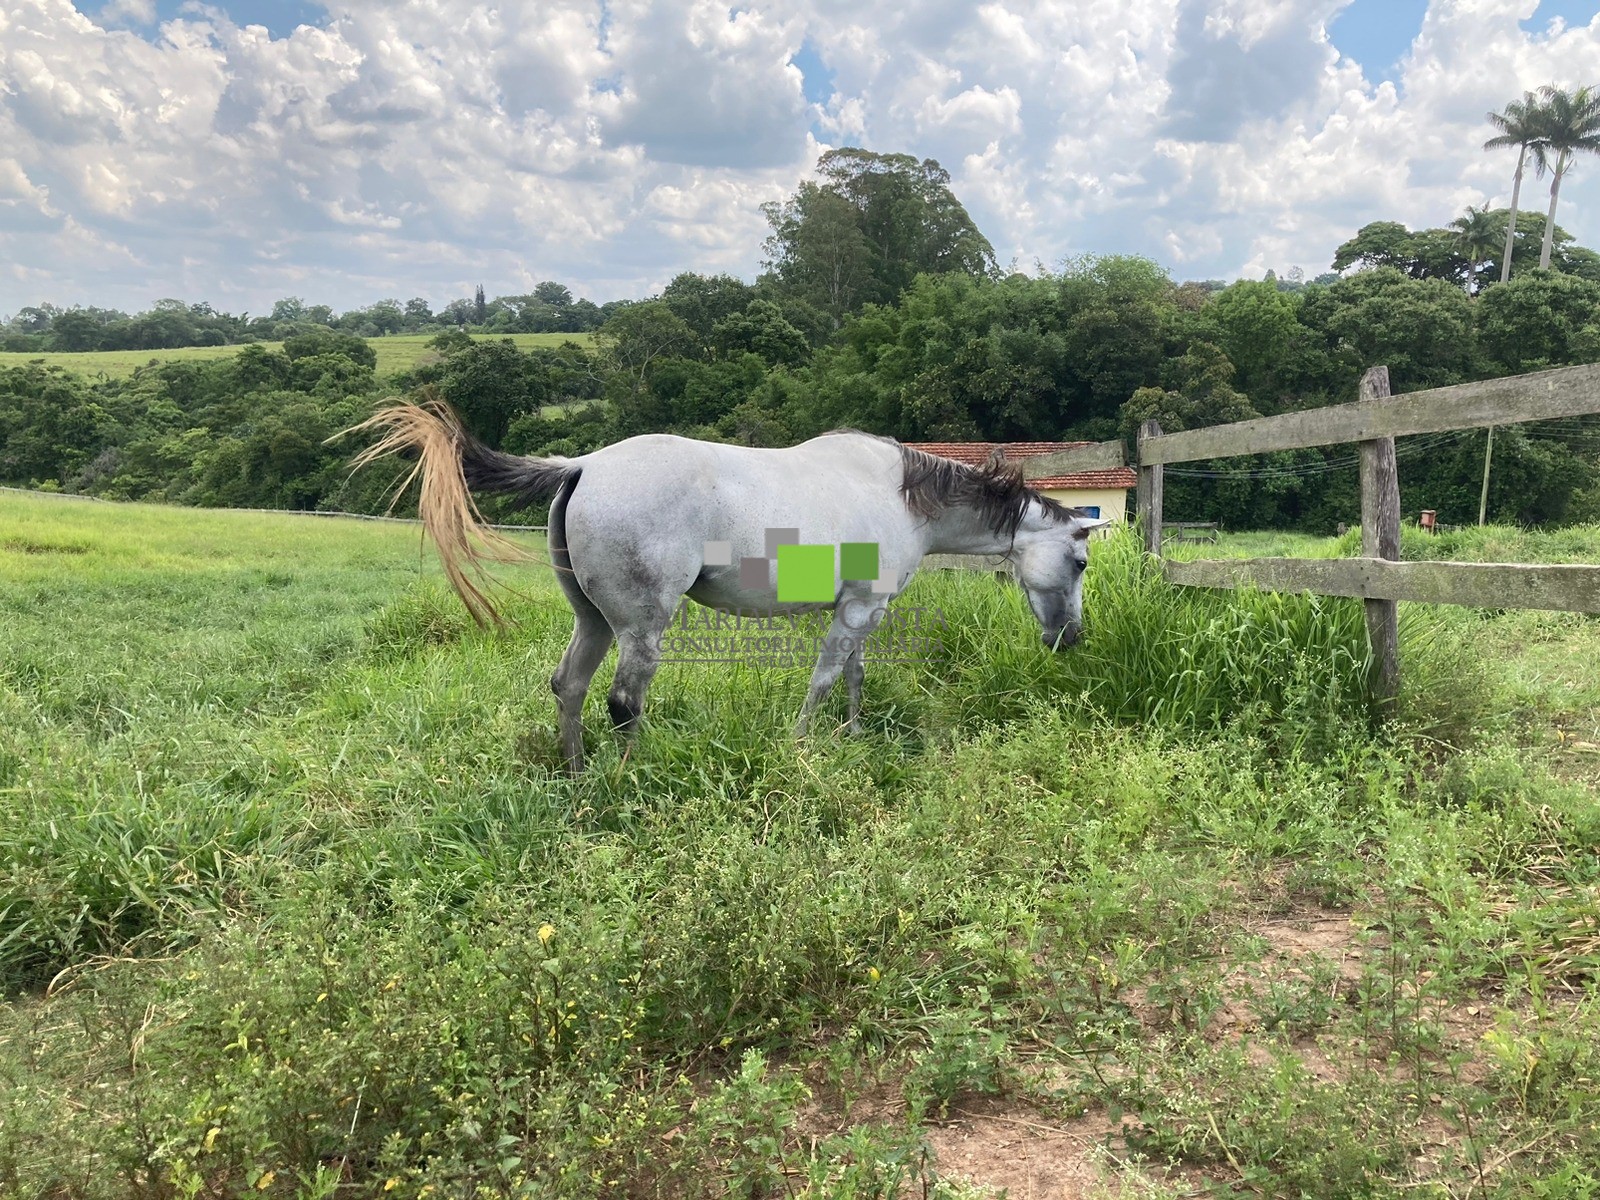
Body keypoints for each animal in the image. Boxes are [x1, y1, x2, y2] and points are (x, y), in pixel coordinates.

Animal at [337, 400, 1113, 774]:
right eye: (1079, 565)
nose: (1070, 640)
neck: (901, 495)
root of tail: (583, 464)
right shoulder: (857, 610)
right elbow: (825, 679)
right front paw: (802, 745)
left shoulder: (864, 610)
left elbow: (856, 678)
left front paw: (855, 737)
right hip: (641, 629)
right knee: (624, 702)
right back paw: (630, 777)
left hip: (593, 621)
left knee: (570, 688)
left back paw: (579, 776)